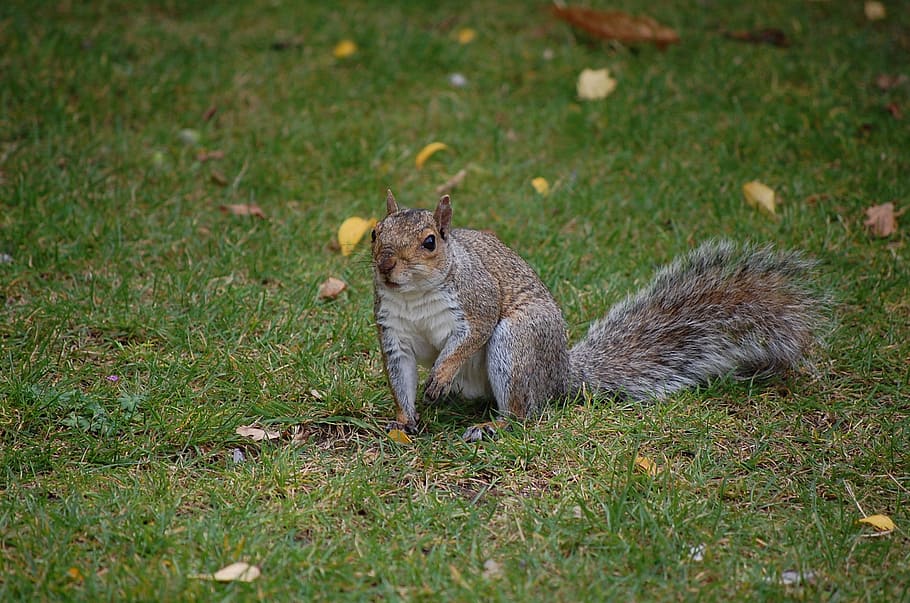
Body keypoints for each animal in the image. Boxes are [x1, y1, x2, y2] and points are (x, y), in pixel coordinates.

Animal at [371, 190, 824, 442]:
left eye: (430, 242)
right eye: (375, 232)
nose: (385, 265)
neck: (414, 296)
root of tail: (560, 375)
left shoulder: (476, 299)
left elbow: (469, 337)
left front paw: (440, 376)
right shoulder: (393, 333)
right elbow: (400, 376)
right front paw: (404, 421)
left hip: (517, 344)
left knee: (523, 412)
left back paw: (492, 427)